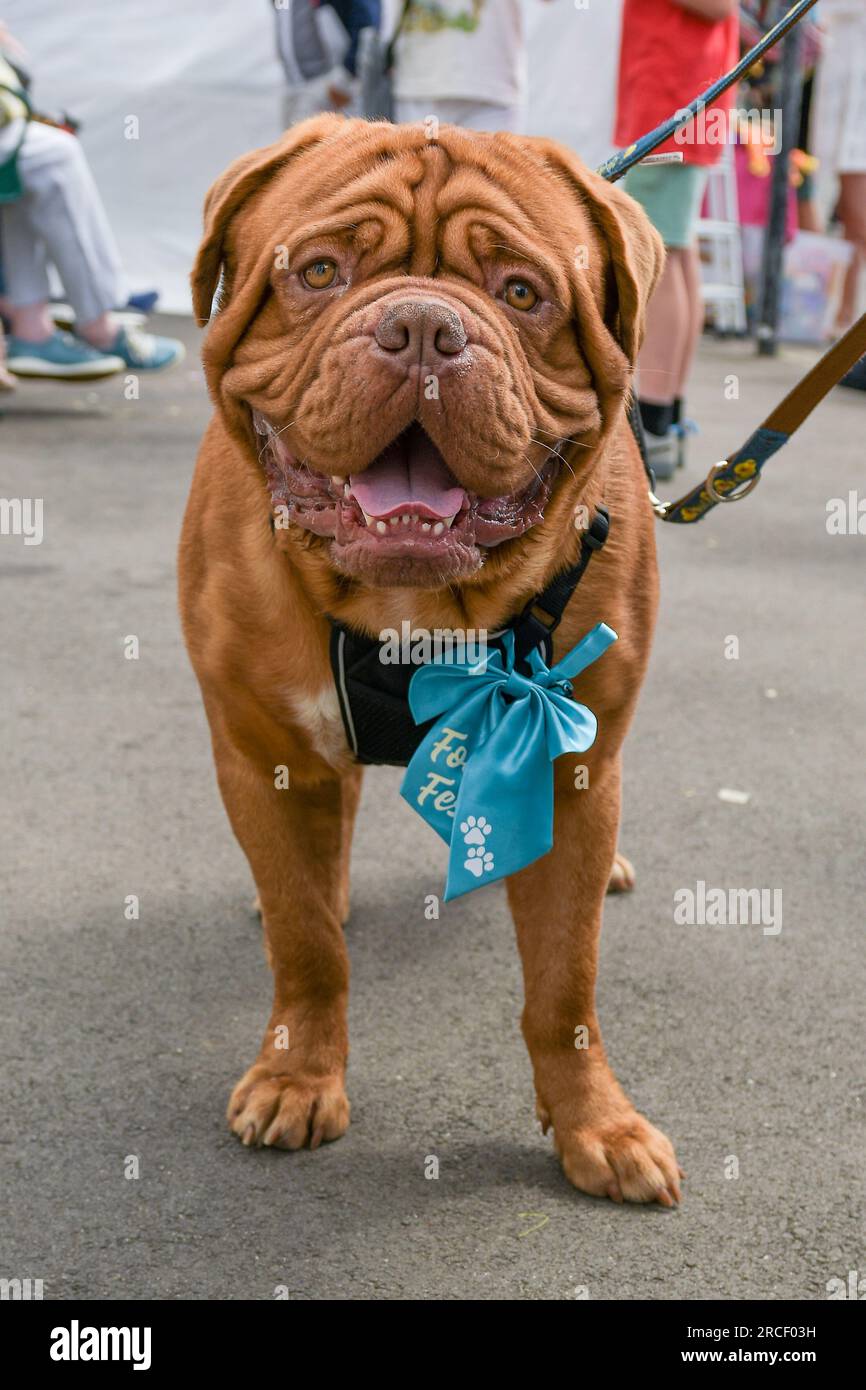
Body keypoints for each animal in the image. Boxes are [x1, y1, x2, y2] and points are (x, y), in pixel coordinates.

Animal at [180, 113, 683, 1206]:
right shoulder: (261, 749)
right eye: (318, 271)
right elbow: (308, 943)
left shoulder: (572, 766)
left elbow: (564, 985)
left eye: (522, 293)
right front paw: (297, 1076)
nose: (419, 327)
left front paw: (598, 1124)